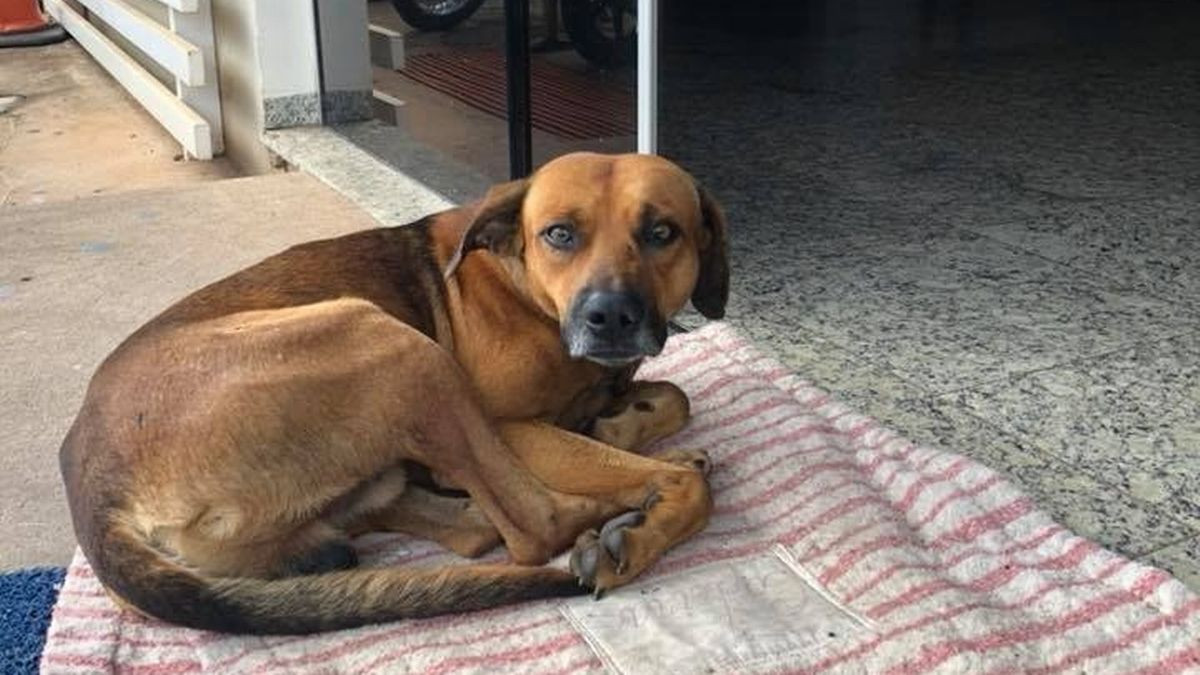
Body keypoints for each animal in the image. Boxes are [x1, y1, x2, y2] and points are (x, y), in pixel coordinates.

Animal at [60, 151, 724, 629]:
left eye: (663, 232)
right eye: (559, 234)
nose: (610, 316)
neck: (522, 283)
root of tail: (91, 477)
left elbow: (673, 395)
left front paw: (619, 423)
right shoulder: (507, 426)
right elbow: (668, 477)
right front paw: (646, 513)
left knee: (467, 525)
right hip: (389, 342)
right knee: (536, 525)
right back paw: (626, 506)